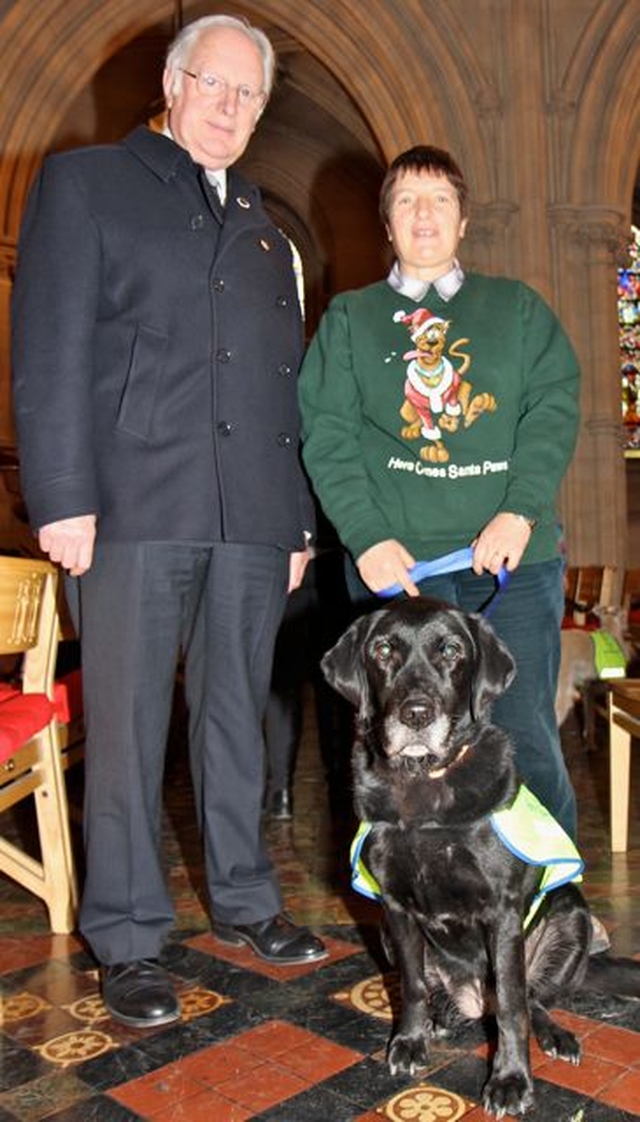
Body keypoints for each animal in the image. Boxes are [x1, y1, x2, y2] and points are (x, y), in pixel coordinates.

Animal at [321, 596, 637, 1113]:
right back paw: (442, 1018)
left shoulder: (501, 912)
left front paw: (510, 1080)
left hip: (572, 915)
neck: (424, 791)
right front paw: (409, 1042)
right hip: (387, 933)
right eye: (383, 650)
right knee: (442, 993)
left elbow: (511, 1005)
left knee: (532, 999)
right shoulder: (395, 908)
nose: (415, 714)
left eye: (451, 650)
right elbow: (411, 985)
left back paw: (556, 1037)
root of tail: (472, 997)